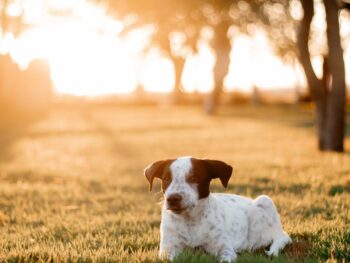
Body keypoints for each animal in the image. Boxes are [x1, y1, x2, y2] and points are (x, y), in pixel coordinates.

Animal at [144, 157, 292, 262]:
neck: (190, 221)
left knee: (276, 238)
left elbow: (225, 257)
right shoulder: (167, 249)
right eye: (166, 178)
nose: (172, 198)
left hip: (264, 201)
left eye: (194, 177)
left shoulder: (224, 248)